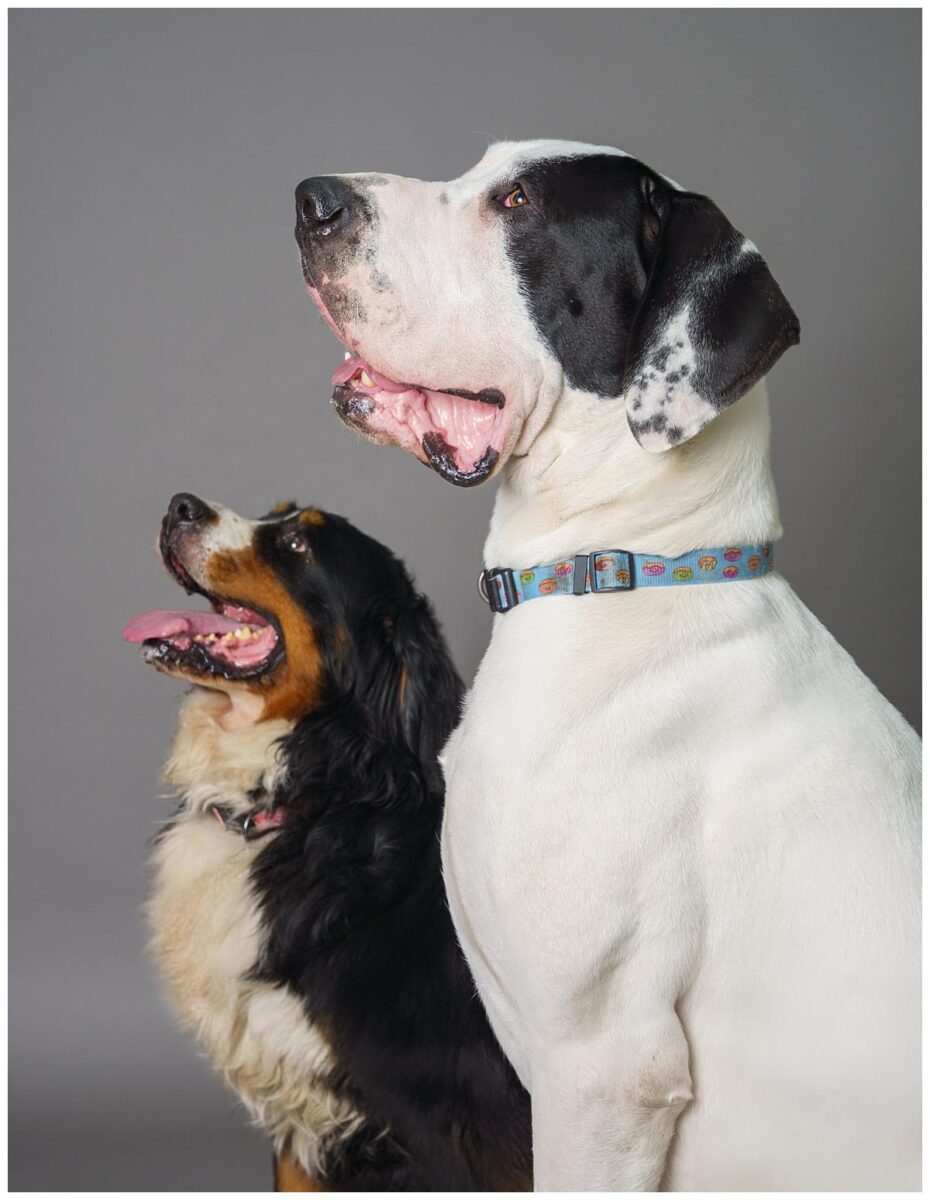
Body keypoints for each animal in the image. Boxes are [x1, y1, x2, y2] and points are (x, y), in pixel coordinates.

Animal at [123, 494, 530, 1190]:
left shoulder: (456, 1127)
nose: (181, 506)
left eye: (297, 547)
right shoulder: (297, 1108)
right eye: (276, 515)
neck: (316, 798)